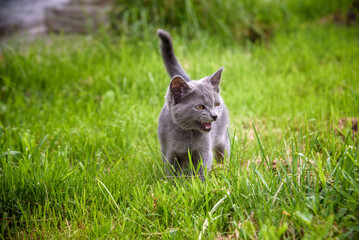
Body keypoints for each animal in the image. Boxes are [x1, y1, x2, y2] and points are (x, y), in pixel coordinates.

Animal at [157, 29, 231, 181]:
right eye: (199, 107)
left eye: (216, 104)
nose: (214, 116)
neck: (186, 134)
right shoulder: (168, 152)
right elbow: (171, 172)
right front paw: (173, 185)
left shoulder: (204, 152)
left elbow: (202, 171)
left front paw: (199, 184)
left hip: (223, 138)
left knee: (224, 153)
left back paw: (225, 169)